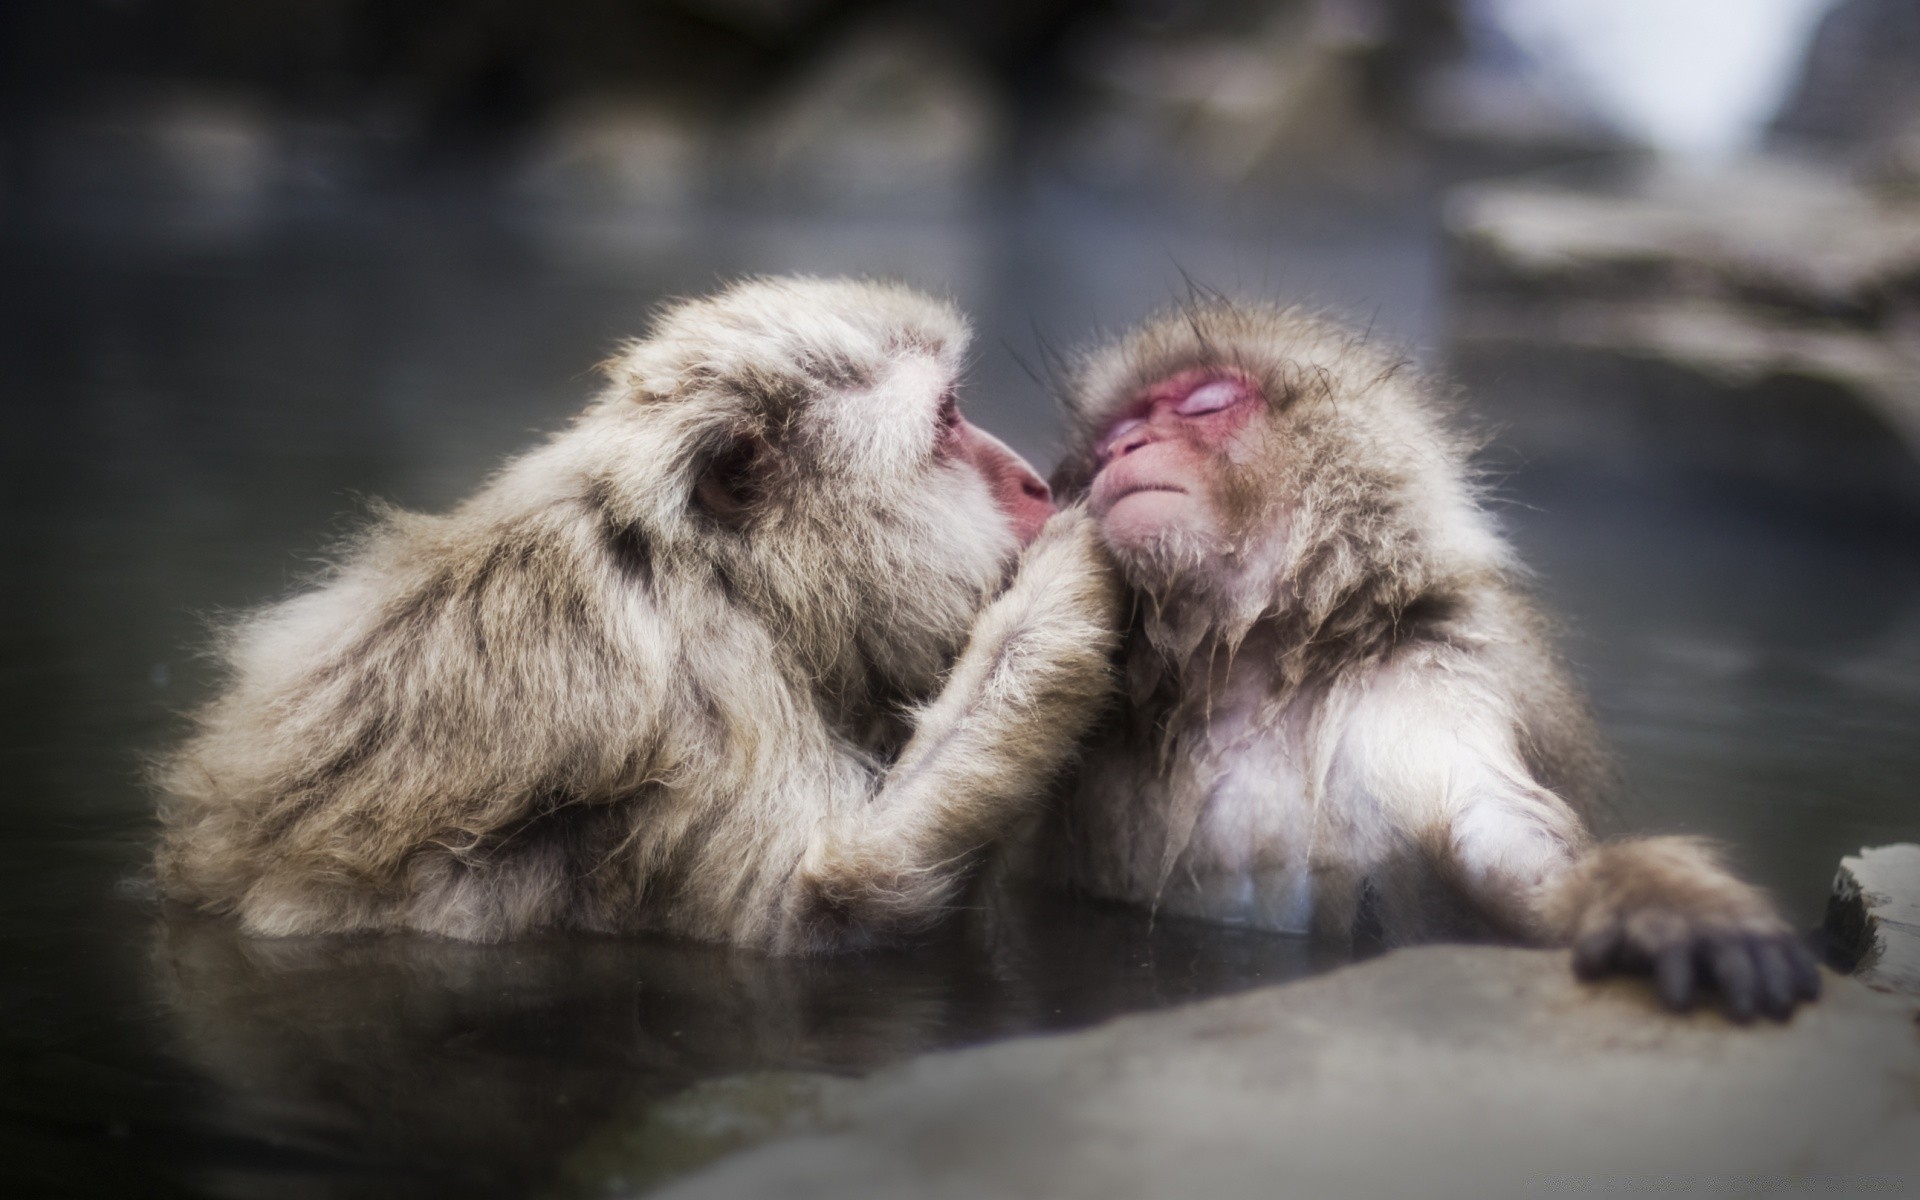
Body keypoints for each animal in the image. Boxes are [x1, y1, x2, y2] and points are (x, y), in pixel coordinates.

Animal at [165, 274, 1128, 956]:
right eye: (950, 419)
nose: (1034, 482)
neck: (728, 580)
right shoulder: (702, 697)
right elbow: (822, 903)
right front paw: (1065, 580)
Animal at [1044, 299, 1820, 1021]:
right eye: (1109, 438)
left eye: (1205, 402)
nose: (1125, 447)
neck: (1250, 674)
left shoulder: (1426, 672)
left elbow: (1498, 829)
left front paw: (1656, 898)